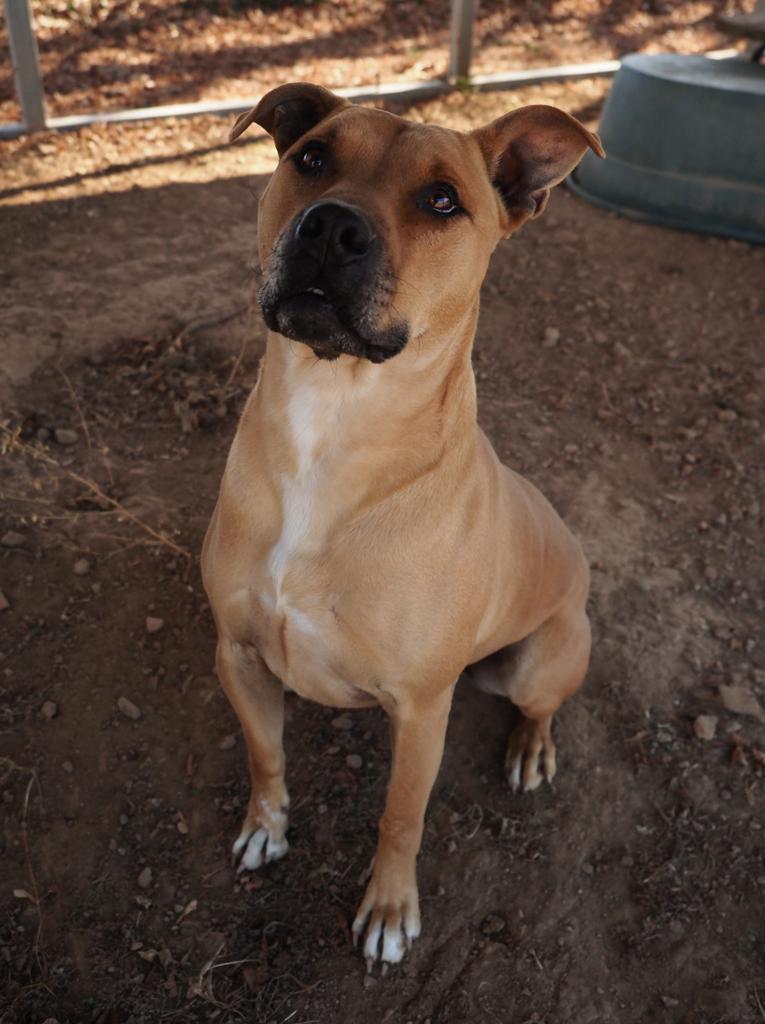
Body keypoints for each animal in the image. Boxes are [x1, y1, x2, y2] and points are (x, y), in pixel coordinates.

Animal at [201, 81, 606, 966]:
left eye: (442, 200)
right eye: (311, 157)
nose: (330, 226)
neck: (329, 421)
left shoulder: (422, 710)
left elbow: (400, 817)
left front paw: (388, 910)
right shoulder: (238, 653)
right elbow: (264, 754)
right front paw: (265, 827)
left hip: (537, 661)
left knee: (540, 705)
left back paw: (530, 750)